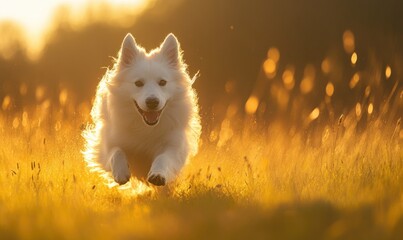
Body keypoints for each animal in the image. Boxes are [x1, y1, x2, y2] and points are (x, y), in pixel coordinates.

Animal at [82, 32, 202, 187]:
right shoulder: (106, 144)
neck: (145, 128)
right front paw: (121, 172)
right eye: (138, 83)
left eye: (162, 82)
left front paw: (158, 174)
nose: (152, 102)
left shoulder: (174, 146)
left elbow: (164, 158)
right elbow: (116, 152)